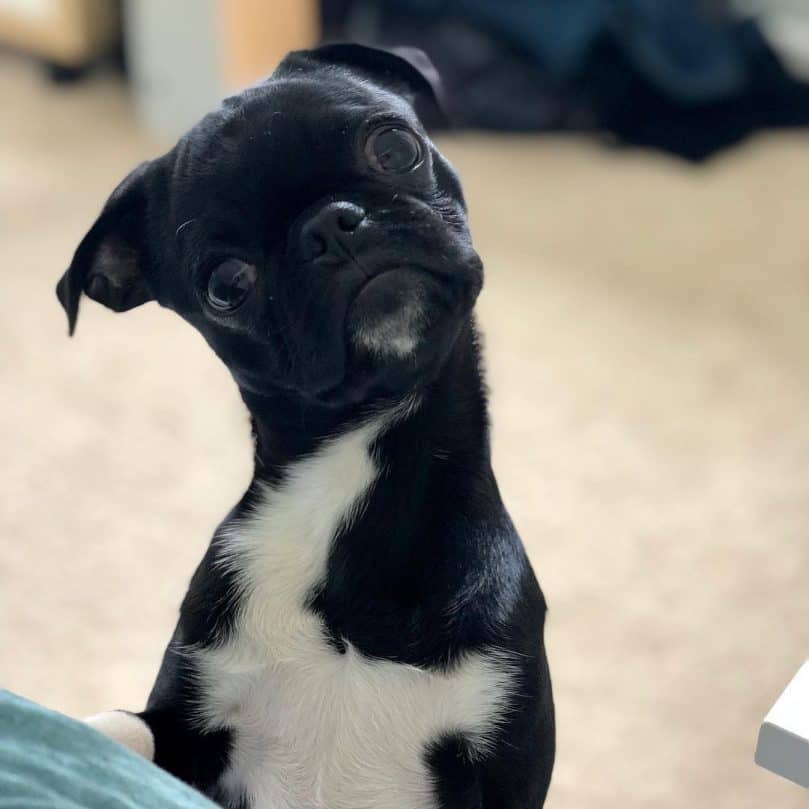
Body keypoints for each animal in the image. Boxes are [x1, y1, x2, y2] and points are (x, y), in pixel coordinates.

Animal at [55, 44, 556, 808]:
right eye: (226, 285)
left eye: (394, 147)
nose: (330, 226)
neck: (355, 480)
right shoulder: (186, 722)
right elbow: (123, 729)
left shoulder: (502, 755)